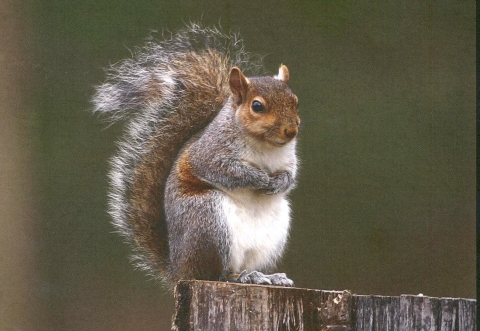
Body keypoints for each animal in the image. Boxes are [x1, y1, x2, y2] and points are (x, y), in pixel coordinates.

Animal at [93, 24, 300, 288]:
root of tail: (179, 269)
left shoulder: (288, 158)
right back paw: (241, 276)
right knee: (214, 274)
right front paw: (259, 178)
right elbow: (222, 170)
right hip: (208, 222)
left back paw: (265, 276)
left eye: (295, 101)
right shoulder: (209, 152)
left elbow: (290, 174)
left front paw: (280, 181)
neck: (266, 145)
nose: (291, 131)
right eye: (257, 106)